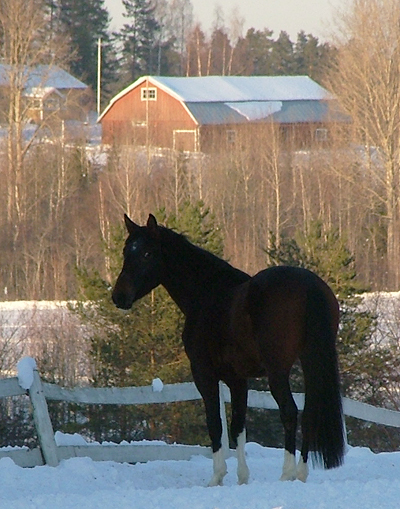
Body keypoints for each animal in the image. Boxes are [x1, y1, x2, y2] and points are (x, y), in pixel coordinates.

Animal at [111, 213, 344, 484]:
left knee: (289, 412)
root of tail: (308, 286)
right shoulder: (238, 379)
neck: (207, 293)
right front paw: (243, 478)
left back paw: (287, 474)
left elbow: (215, 423)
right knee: (308, 415)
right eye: (126, 251)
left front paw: (217, 477)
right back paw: (301, 474)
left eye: (148, 253)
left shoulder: (204, 373)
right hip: (311, 361)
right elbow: (238, 426)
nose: (119, 296)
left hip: (278, 371)